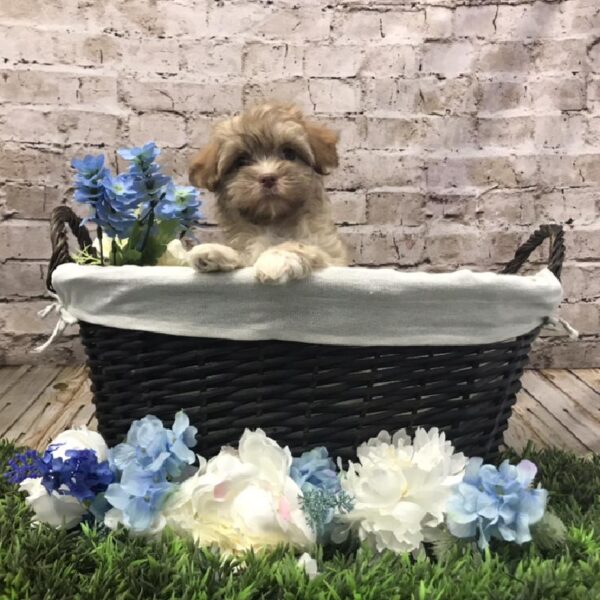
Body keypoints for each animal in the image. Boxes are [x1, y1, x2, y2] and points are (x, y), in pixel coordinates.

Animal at [186, 102, 346, 284]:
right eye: (241, 161)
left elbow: (299, 245)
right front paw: (214, 251)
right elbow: (245, 256)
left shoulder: (333, 259)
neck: (273, 222)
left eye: (289, 153)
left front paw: (277, 257)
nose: (268, 178)